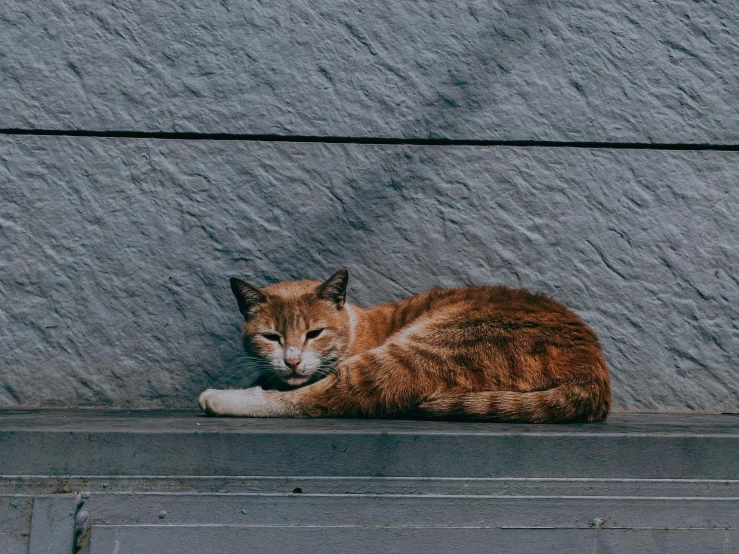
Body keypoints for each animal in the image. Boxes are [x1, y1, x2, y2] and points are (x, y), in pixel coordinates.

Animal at [199, 270, 608, 420]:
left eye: (314, 333)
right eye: (271, 337)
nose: (293, 360)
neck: (354, 327)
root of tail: (592, 368)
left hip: (428, 346)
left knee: (321, 399)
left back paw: (220, 398)